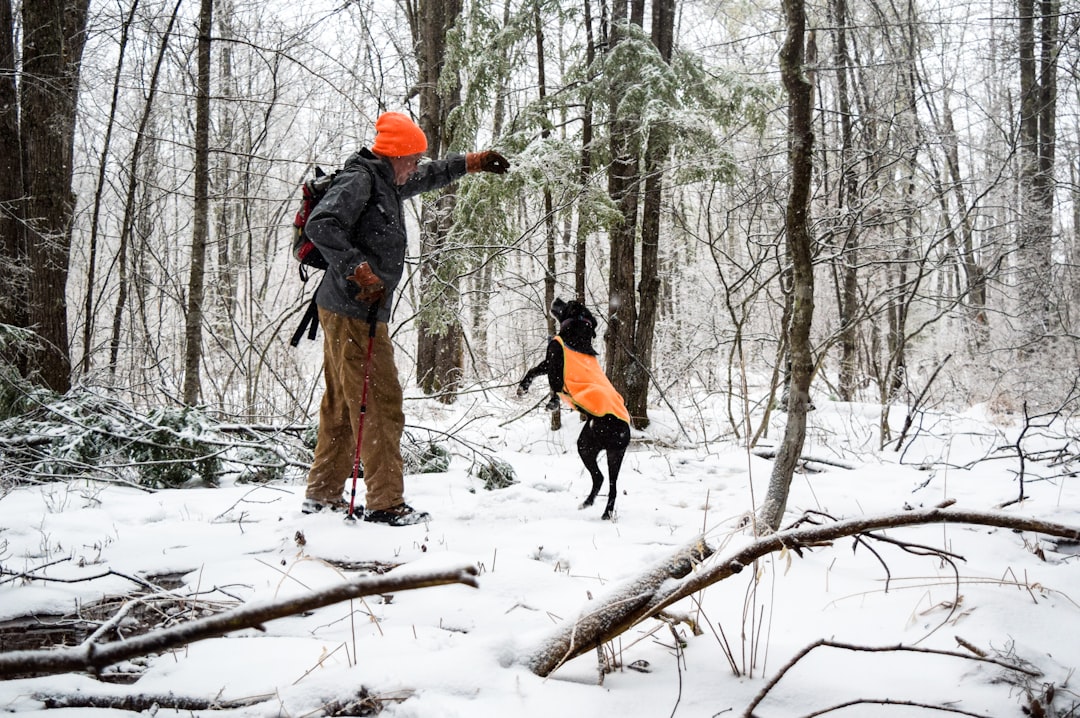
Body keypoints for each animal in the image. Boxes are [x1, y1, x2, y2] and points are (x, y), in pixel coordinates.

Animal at [516, 300, 630, 518]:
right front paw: (524, 387)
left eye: (568, 303)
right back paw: (597, 508)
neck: (577, 330)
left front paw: (546, 400)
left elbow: (550, 383)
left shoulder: (553, 360)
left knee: (600, 477)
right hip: (615, 454)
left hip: (586, 445)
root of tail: (624, 428)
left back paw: (592, 505)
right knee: (610, 484)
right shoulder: (548, 362)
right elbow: (534, 370)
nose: (557, 299)